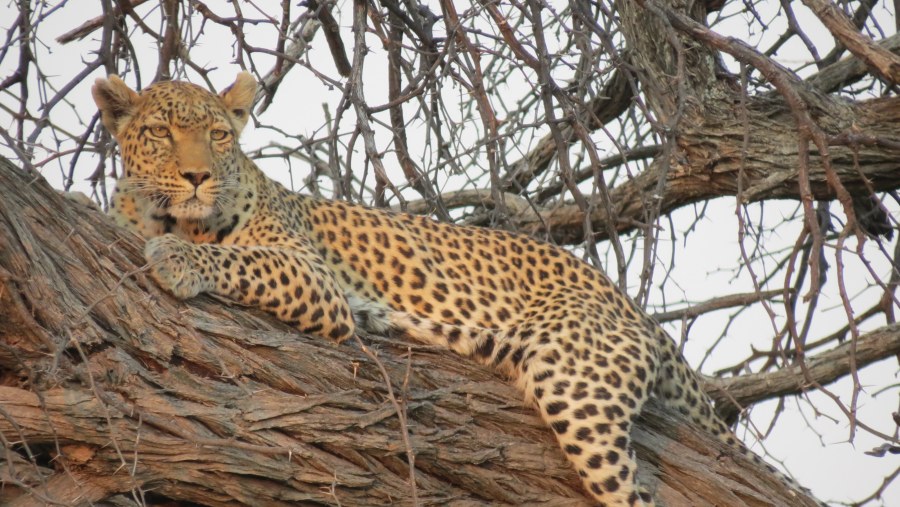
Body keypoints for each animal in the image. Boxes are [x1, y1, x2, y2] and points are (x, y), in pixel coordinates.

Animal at [93, 72, 824, 507]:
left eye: (219, 134)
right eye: (160, 132)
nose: (197, 176)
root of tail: (630, 304)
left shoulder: (312, 276)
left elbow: (240, 259)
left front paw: (178, 258)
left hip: (575, 382)